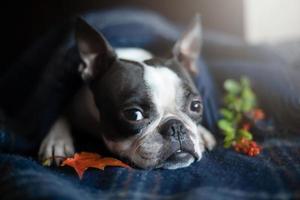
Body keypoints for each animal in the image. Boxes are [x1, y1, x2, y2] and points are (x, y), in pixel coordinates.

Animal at [38, 15, 216, 169]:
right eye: (134, 115)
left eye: (196, 106)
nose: (176, 127)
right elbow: (60, 114)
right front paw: (56, 141)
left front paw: (202, 133)